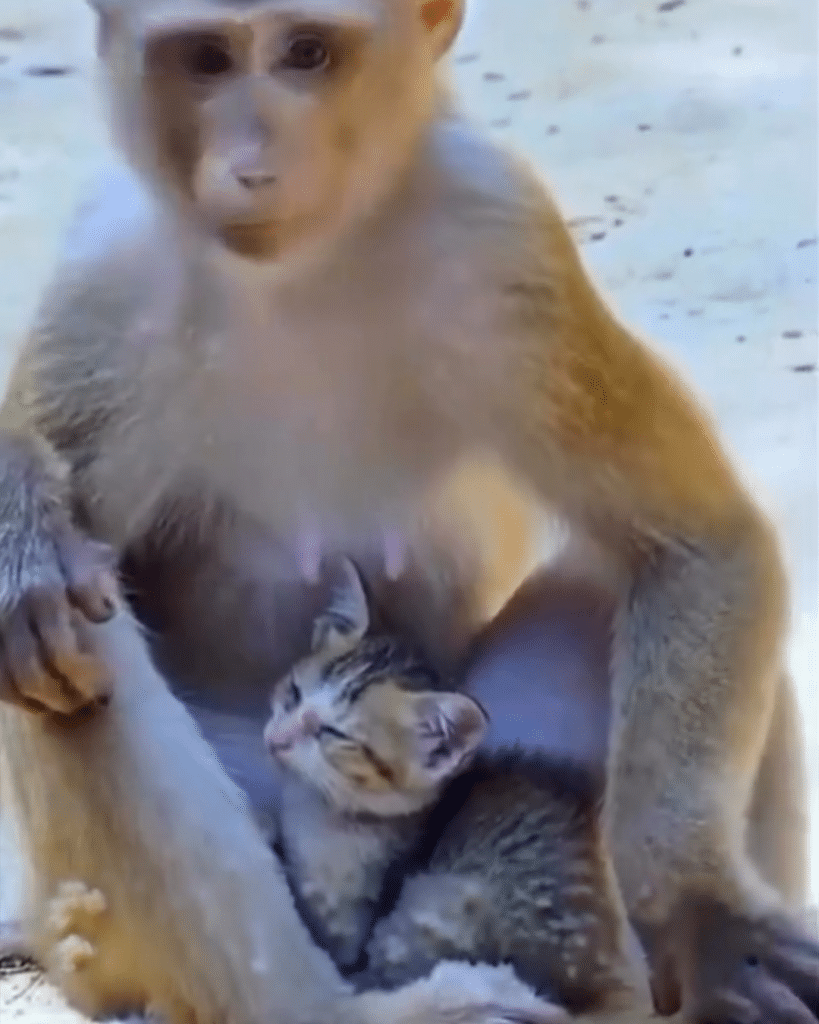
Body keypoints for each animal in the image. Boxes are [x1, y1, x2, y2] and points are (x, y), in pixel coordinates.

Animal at [266, 561, 642, 1015]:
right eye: (294, 692)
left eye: (334, 733)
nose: (276, 740)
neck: (322, 810)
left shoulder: (357, 921)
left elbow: (336, 949)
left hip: (442, 903)